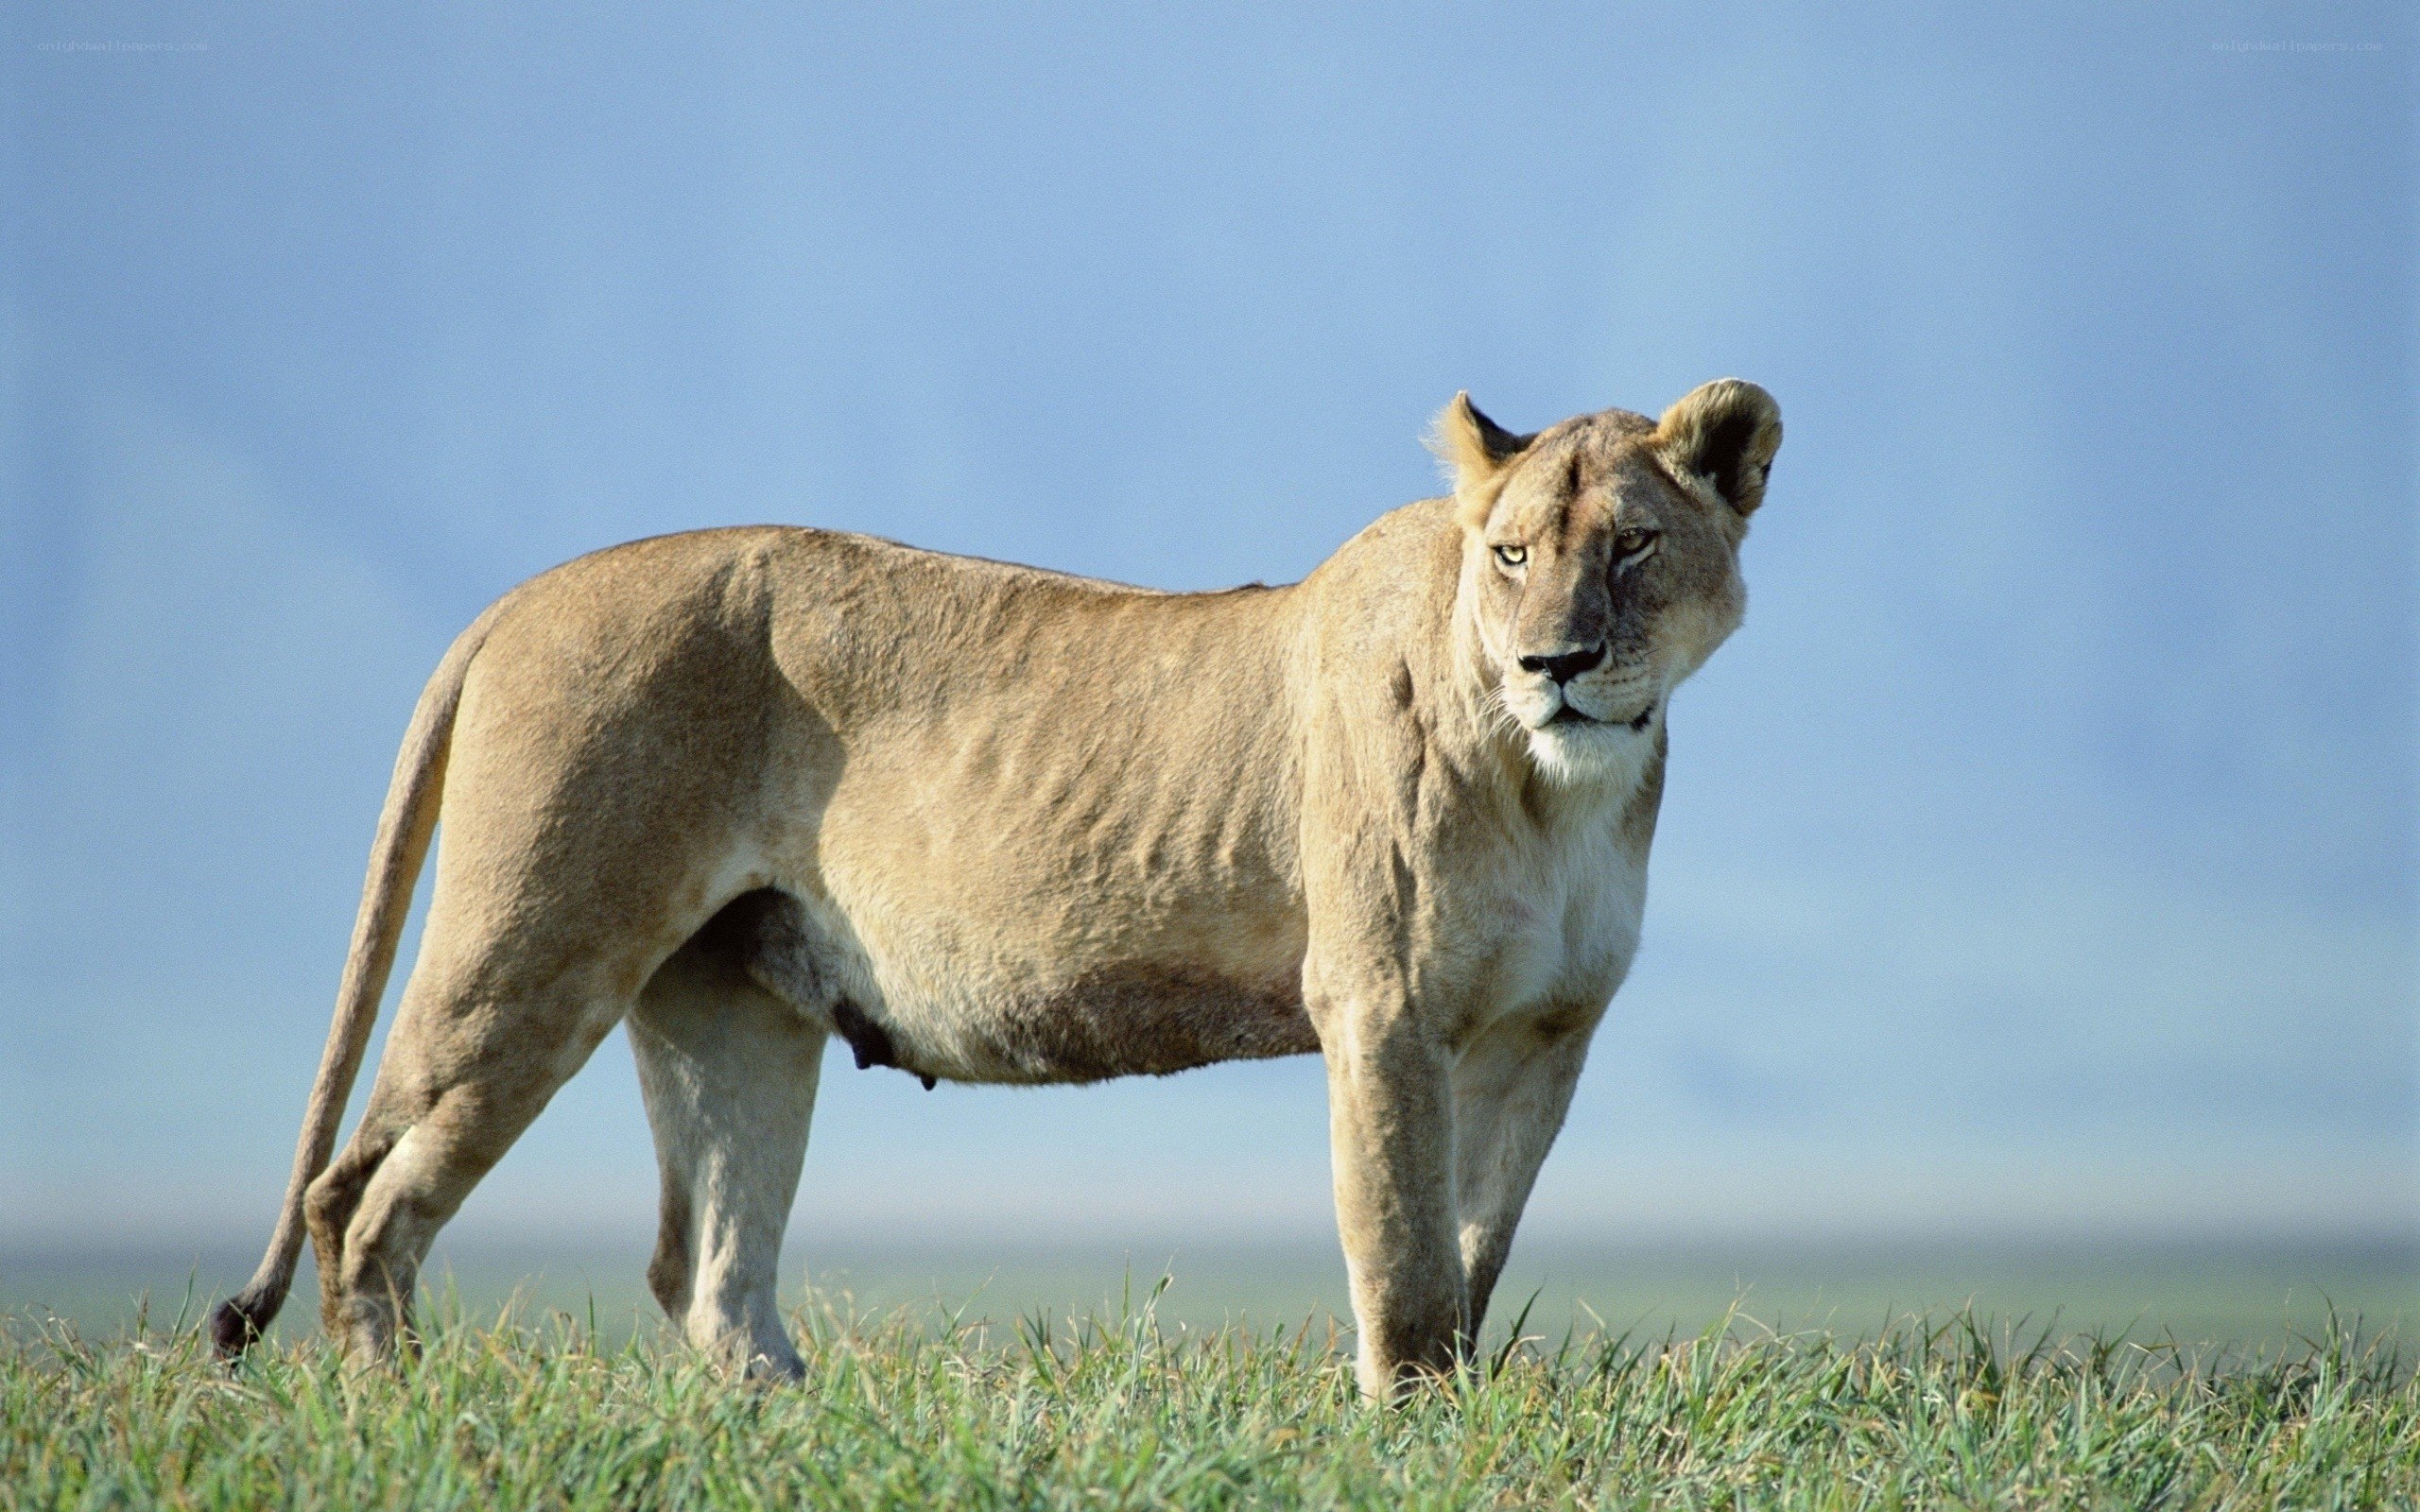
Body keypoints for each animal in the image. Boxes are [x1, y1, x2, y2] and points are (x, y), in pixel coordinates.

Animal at [205, 379, 1781, 1399]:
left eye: (1632, 544)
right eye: (1509, 554)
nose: (1553, 663)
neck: (1561, 788)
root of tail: (517, 598)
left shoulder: (1544, 1034)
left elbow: (1472, 1251)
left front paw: (1451, 1416)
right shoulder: (1381, 1008)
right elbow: (1400, 1256)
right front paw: (1408, 1432)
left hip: (730, 1003)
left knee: (705, 1265)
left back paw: (808, 1426)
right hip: (536, 944)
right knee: (361, 1197)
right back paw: (402, 1418)